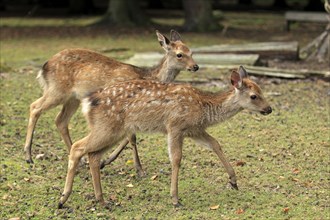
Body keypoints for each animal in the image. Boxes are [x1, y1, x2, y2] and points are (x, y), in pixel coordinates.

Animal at [24, 30, 199, 173]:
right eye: (179, 54)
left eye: (191, 51)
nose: (195, 66)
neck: (147, 77)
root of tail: (44, 67)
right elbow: (132, 137)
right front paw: (139, 169)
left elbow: (129, 136)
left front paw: (105, 161)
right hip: (57, 90)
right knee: (35, 107)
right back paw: (28, 156)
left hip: (73, 98)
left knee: (60, 120)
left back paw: (79, 162)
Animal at [58, 66, 272, 209]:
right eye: (254, 96)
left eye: (261, 91)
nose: (269, 109)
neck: (204, 108)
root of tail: (87, 103)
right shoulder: (175, 125)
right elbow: (176, 159)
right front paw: (175, 198)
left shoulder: (194, 130)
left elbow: (215, 144)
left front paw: (233, 181)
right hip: (107, 128)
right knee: (78, 147)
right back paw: (63, 198)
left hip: (110, 131)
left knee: (93, 156)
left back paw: (101, 200)